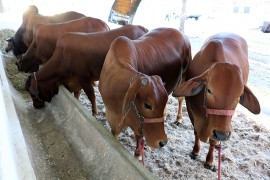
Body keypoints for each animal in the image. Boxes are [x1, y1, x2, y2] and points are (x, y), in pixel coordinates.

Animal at [98, 27, 191, 164]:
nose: (163, 142)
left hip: (183, 78)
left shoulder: (137, 125)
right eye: (147, 105)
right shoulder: (113, 120)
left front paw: (137, 154)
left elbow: (139, 137)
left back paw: (178, 119)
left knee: (180, 98)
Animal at [172, 32, 260, 170]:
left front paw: (209, 160)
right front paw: (195, 151)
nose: (222, 135)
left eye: (240, 95)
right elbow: (196, 132)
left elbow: (212, 140)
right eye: (209, 90)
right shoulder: (191, 110)